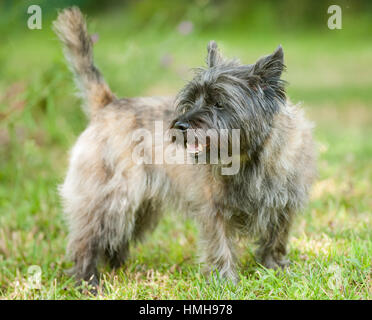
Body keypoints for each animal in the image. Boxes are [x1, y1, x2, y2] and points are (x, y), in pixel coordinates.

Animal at [53, 6, 316, 288]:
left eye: (219, 103)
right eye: (192, 99)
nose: (180, 125)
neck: (249, 157)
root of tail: (108, 105)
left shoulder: (283, 206)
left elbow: (275, 240)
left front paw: (274, 269)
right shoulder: (214, 209)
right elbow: (220, 245)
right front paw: (226, 282)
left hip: (142, 205)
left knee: (116, 237)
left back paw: (119, 270)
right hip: (108, 198)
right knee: (87, 238)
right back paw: (88, 281)